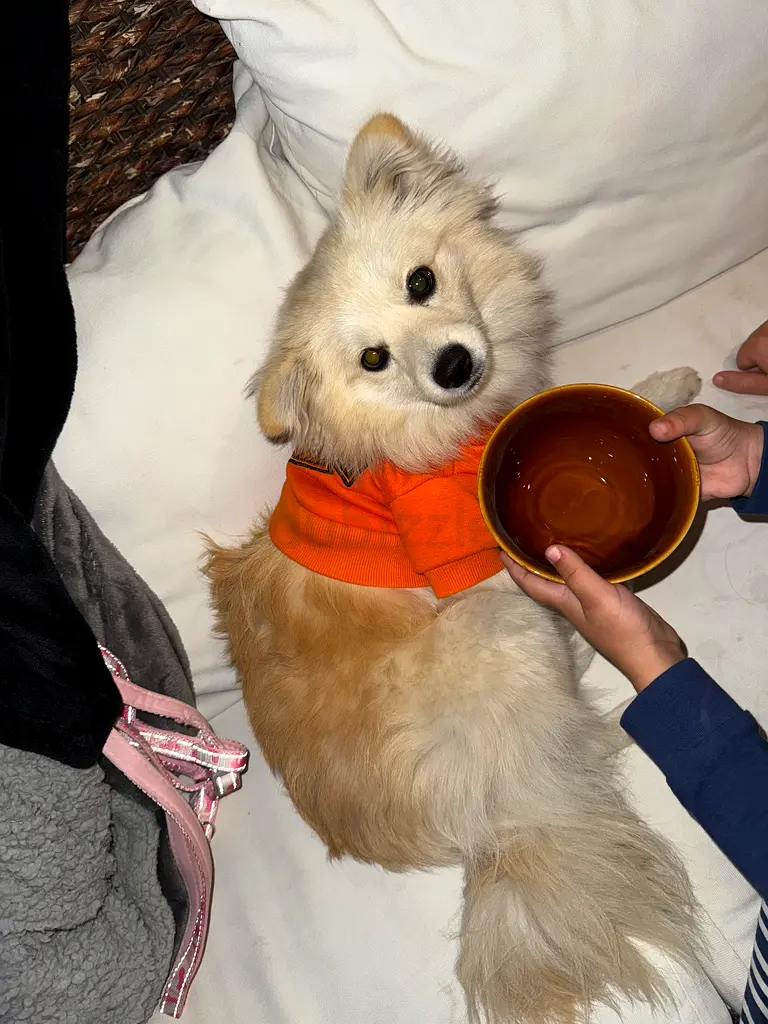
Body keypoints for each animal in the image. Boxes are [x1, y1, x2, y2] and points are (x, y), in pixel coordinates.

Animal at [205, 114, 703, 1024]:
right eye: (373, 359)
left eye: (422, 281)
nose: (452, 366)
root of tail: (489, 828)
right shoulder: (473, 562)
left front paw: (665, 396)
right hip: (495, 627)